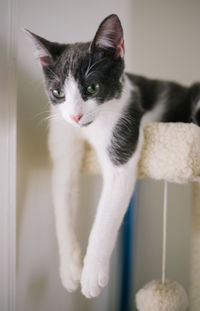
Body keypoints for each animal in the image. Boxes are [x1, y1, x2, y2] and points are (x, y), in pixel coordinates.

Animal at [25, 13, 200, 298]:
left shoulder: (124, 123)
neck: (89, 128)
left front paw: (91, 275)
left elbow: (107, 212)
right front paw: (70, 270)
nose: (76, 116)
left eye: (93, 88)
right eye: (58, 92)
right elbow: (63, 194)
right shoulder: (62, 134)